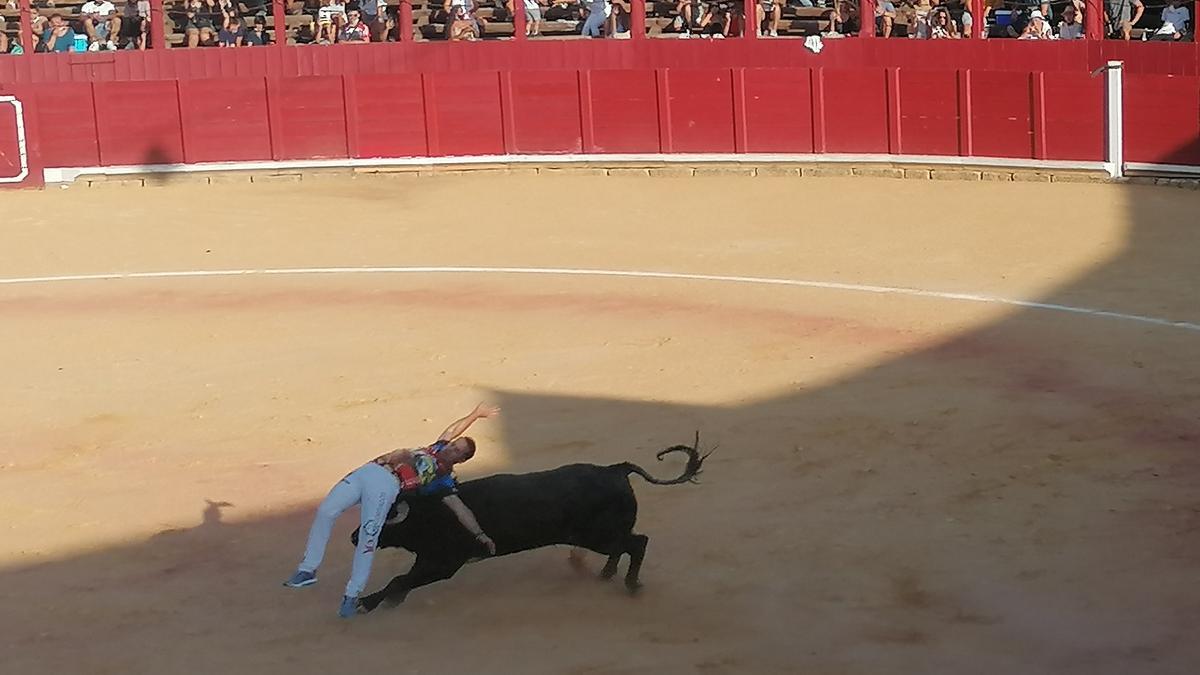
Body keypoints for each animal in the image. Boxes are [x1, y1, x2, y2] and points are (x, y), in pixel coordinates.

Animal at [350, 439, 700, 612]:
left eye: (377, 521)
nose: (354, 537)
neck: (429, 513)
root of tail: (615, 469)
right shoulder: (428, 562)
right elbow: (403, 579)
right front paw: (383, 600)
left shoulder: (444, 564)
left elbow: (400, 580)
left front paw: (368, 603)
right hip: (604, 535)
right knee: (626, 546)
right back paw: (606, 574)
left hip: (597, 536)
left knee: (638, 542)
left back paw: (631, 585)